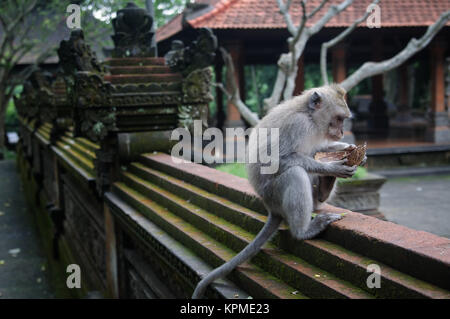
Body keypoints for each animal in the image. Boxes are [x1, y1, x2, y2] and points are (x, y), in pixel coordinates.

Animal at [192, 84, 358, 298]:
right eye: (339, 118)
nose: (342, 131)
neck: (310, 118)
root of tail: (270, 207)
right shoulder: (298, 125)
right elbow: (278, 160)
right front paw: (331, 167)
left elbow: (319, 148)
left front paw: (348, 148)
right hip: (274, 193)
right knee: (296, 173)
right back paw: (303, 231)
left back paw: (325, 188)